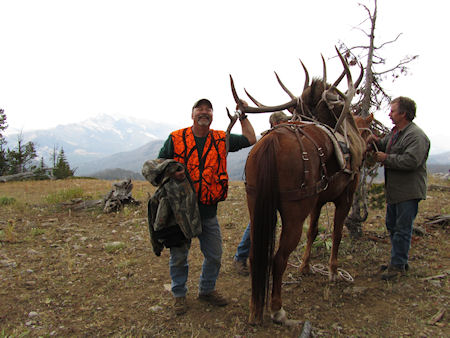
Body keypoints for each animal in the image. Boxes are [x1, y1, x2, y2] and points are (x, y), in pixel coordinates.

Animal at [230, 50, 374, 324]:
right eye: (337, 102)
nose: (365, 143)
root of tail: (272, 143)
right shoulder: (347, 193)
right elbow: (336, 233)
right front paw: (332, 271)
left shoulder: (317, 199)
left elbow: (314, 231)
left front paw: (306, 266)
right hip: (294, 210)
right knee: (278, 258)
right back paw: (276, 309)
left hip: (255, 201)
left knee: (256, 255)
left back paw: (255, 310)